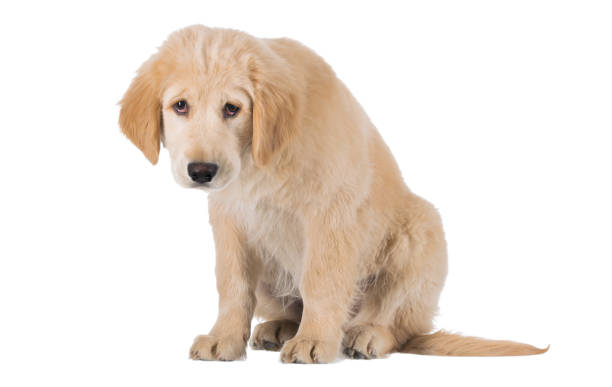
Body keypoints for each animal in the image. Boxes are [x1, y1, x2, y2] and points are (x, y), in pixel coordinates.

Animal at [118, 25, 544, 362]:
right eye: (180, 106)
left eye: (232, 109)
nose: (202, 172)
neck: (262, 159)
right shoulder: (231, 217)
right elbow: (233, 284)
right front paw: (224, 337)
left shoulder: (330, 212)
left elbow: (321, 279)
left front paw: (315, 340)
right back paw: (279, 327)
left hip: (422, 230)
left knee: (399, 325)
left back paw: (367, 334)